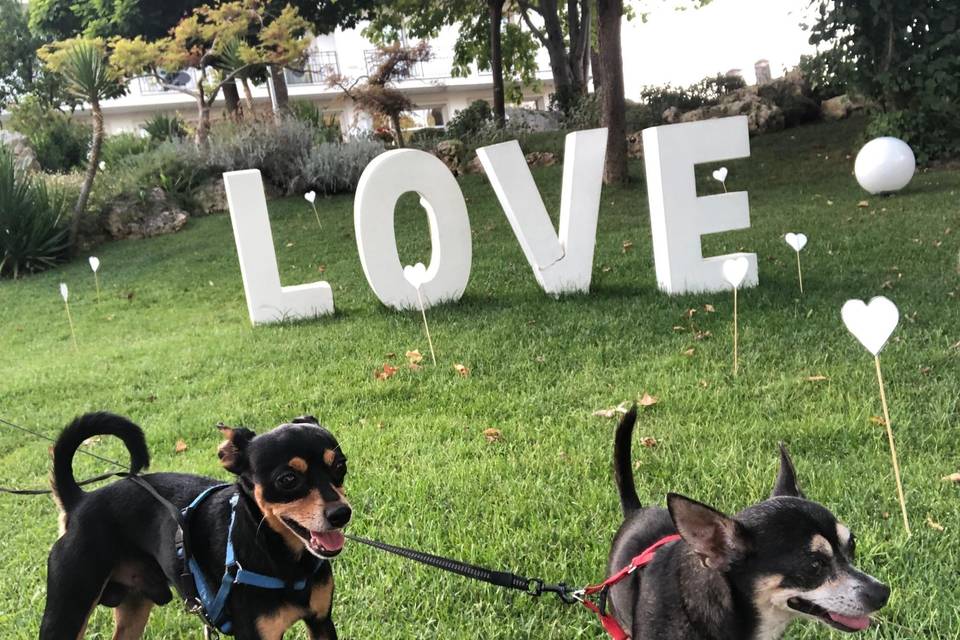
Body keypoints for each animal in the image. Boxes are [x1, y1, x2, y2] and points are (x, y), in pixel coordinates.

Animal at [40, 412, 352, 636]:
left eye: (340, 466)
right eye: (287, 479)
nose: (342, 513)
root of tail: (79, 500)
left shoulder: (321, 621)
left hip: (134, 608)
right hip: (66, 612)